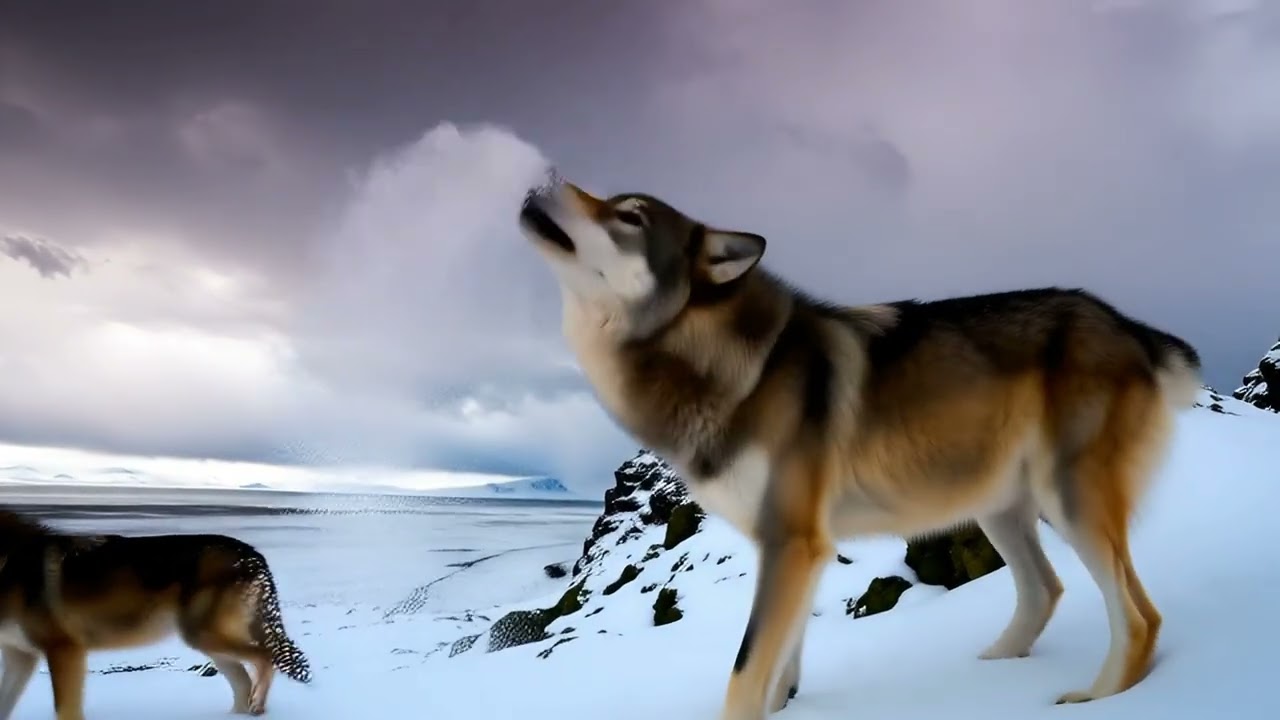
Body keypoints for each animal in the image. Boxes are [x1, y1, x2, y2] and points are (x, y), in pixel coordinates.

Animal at [0, 509, 311, 720]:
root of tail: (255, 555)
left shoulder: (65, 650)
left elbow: (66, 710)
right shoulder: (20, 656)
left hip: (203, 638)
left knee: (264, 657)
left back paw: (258, 704)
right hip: (207, 644)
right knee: (244, 682)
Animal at [517, 175, 1202, 720]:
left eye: (629, 216)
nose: (545, 179)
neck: (725, 366)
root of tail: (1125, 324)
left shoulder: (792, 542)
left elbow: (744, 673)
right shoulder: (800, 550)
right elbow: (778, 670)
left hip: (1069, 502)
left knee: (1141, 618)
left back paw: (1095, 698)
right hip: (999, 508)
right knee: (1046, 590)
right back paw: (992, 667)